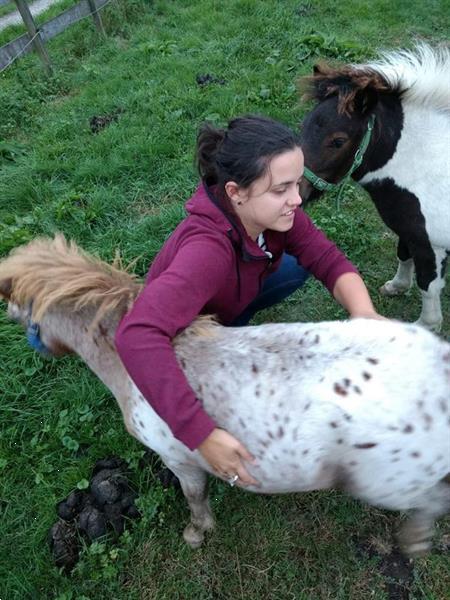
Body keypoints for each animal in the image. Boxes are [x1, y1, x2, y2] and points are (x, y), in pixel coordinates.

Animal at [0, 237, 450, 556]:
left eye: (16, 304)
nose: (11, 320)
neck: (126, 365)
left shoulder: (181, 460)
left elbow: (195, 498)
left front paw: (196, 533)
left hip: (389, 482)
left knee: (431, 501)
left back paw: (413, 540)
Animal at [298, 42, 450, 332]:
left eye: (338, 141)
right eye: (303, 126)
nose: (294, 191)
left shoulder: (432, 245)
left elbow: (428, 286)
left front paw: (426, 326)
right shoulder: (409, 229)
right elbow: (403, 254)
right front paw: (396, 286)